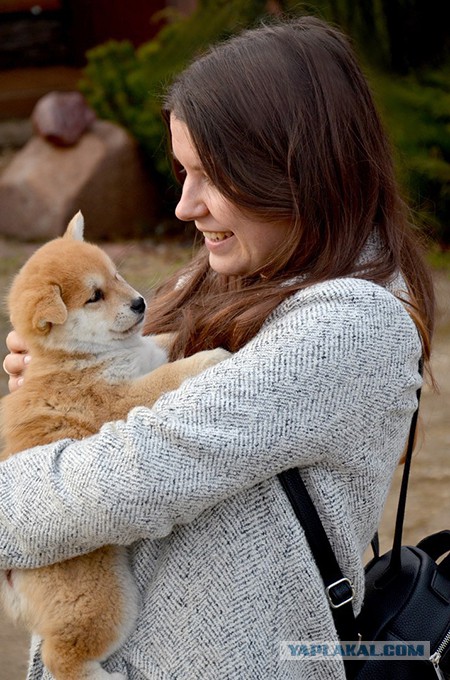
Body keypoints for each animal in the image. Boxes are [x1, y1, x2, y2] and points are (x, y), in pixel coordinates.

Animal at [0, 210, 229, 676]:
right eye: (94, 296)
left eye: (117, 274)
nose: (141, 303)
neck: (80, 357)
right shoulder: (119, 402)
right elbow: (168, 377)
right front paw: (209, 357)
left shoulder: (148, 352)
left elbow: (162, 345)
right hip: (105, 601)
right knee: (62, 658)